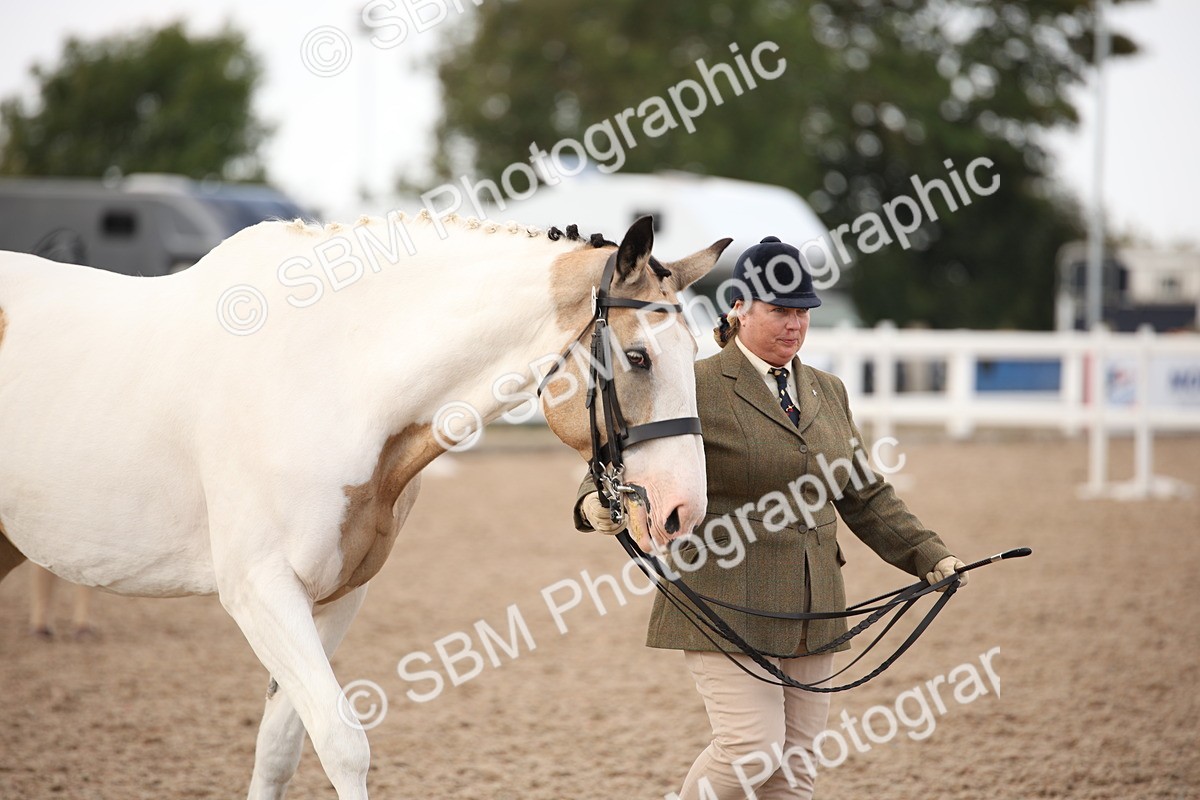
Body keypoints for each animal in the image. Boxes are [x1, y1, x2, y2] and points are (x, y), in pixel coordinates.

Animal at [0, 211, 729, 799]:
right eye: (638, 356)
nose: (682, 511)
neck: (329, 377)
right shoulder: (260, 592)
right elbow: (343, 743)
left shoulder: (335, 597)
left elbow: (280, 748)